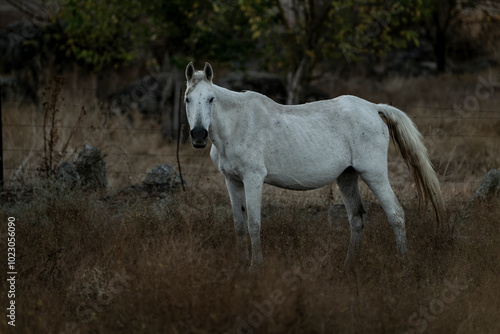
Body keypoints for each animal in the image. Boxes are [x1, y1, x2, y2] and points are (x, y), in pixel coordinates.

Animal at [185, 62, 446, 266]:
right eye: (187, 99)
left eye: (211, 99)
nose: (198, 135)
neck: (236, 124)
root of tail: (374, 108)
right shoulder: (232, 181)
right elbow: (239, 226)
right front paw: (240, 267)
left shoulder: (253, 179)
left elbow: (253, 224)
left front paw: (255, 268)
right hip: (347, 176)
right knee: (357, 219)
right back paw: (348, 265)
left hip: (374, 174)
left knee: (396, 214)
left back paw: (404, 264)